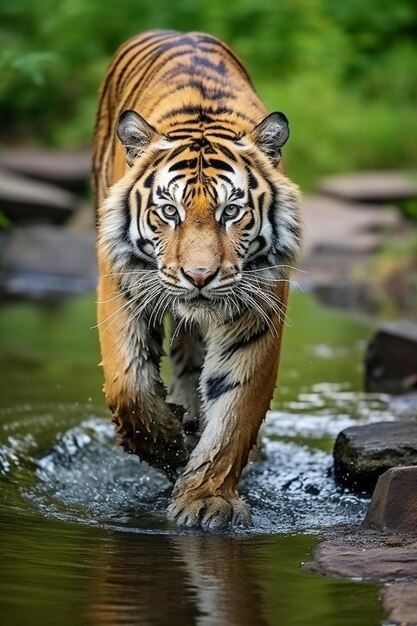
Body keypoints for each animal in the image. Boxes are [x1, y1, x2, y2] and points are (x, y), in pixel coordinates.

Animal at [92, 29, 300, 528]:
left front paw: (207, 498)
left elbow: (235, 410)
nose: (199, 277)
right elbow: (129, 386)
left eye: (232, 211)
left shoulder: (256, 310)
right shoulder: (121, 285)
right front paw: (168, 447)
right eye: (170, 211)